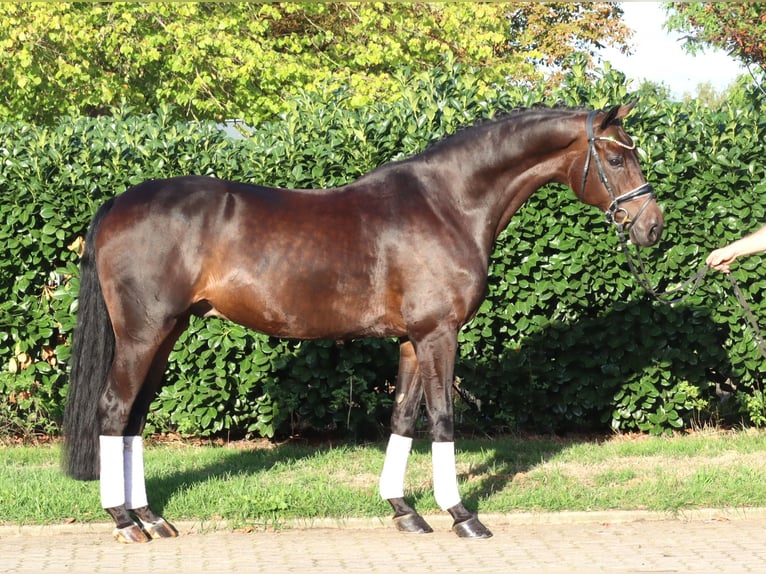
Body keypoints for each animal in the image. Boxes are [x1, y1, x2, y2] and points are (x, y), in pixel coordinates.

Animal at [63, 102, 663, 543]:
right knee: (113, 409)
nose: (653, 226)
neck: (448, 204)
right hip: (143, 335)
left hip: (166, 334)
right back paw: (123, 521)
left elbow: (402, 417)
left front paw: (404, 510)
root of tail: (118, 203)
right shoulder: (439, 334)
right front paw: (462, 516)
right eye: (615, 159)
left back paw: (152, 518)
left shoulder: (412, 341)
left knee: (135, 416)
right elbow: (443, 419)